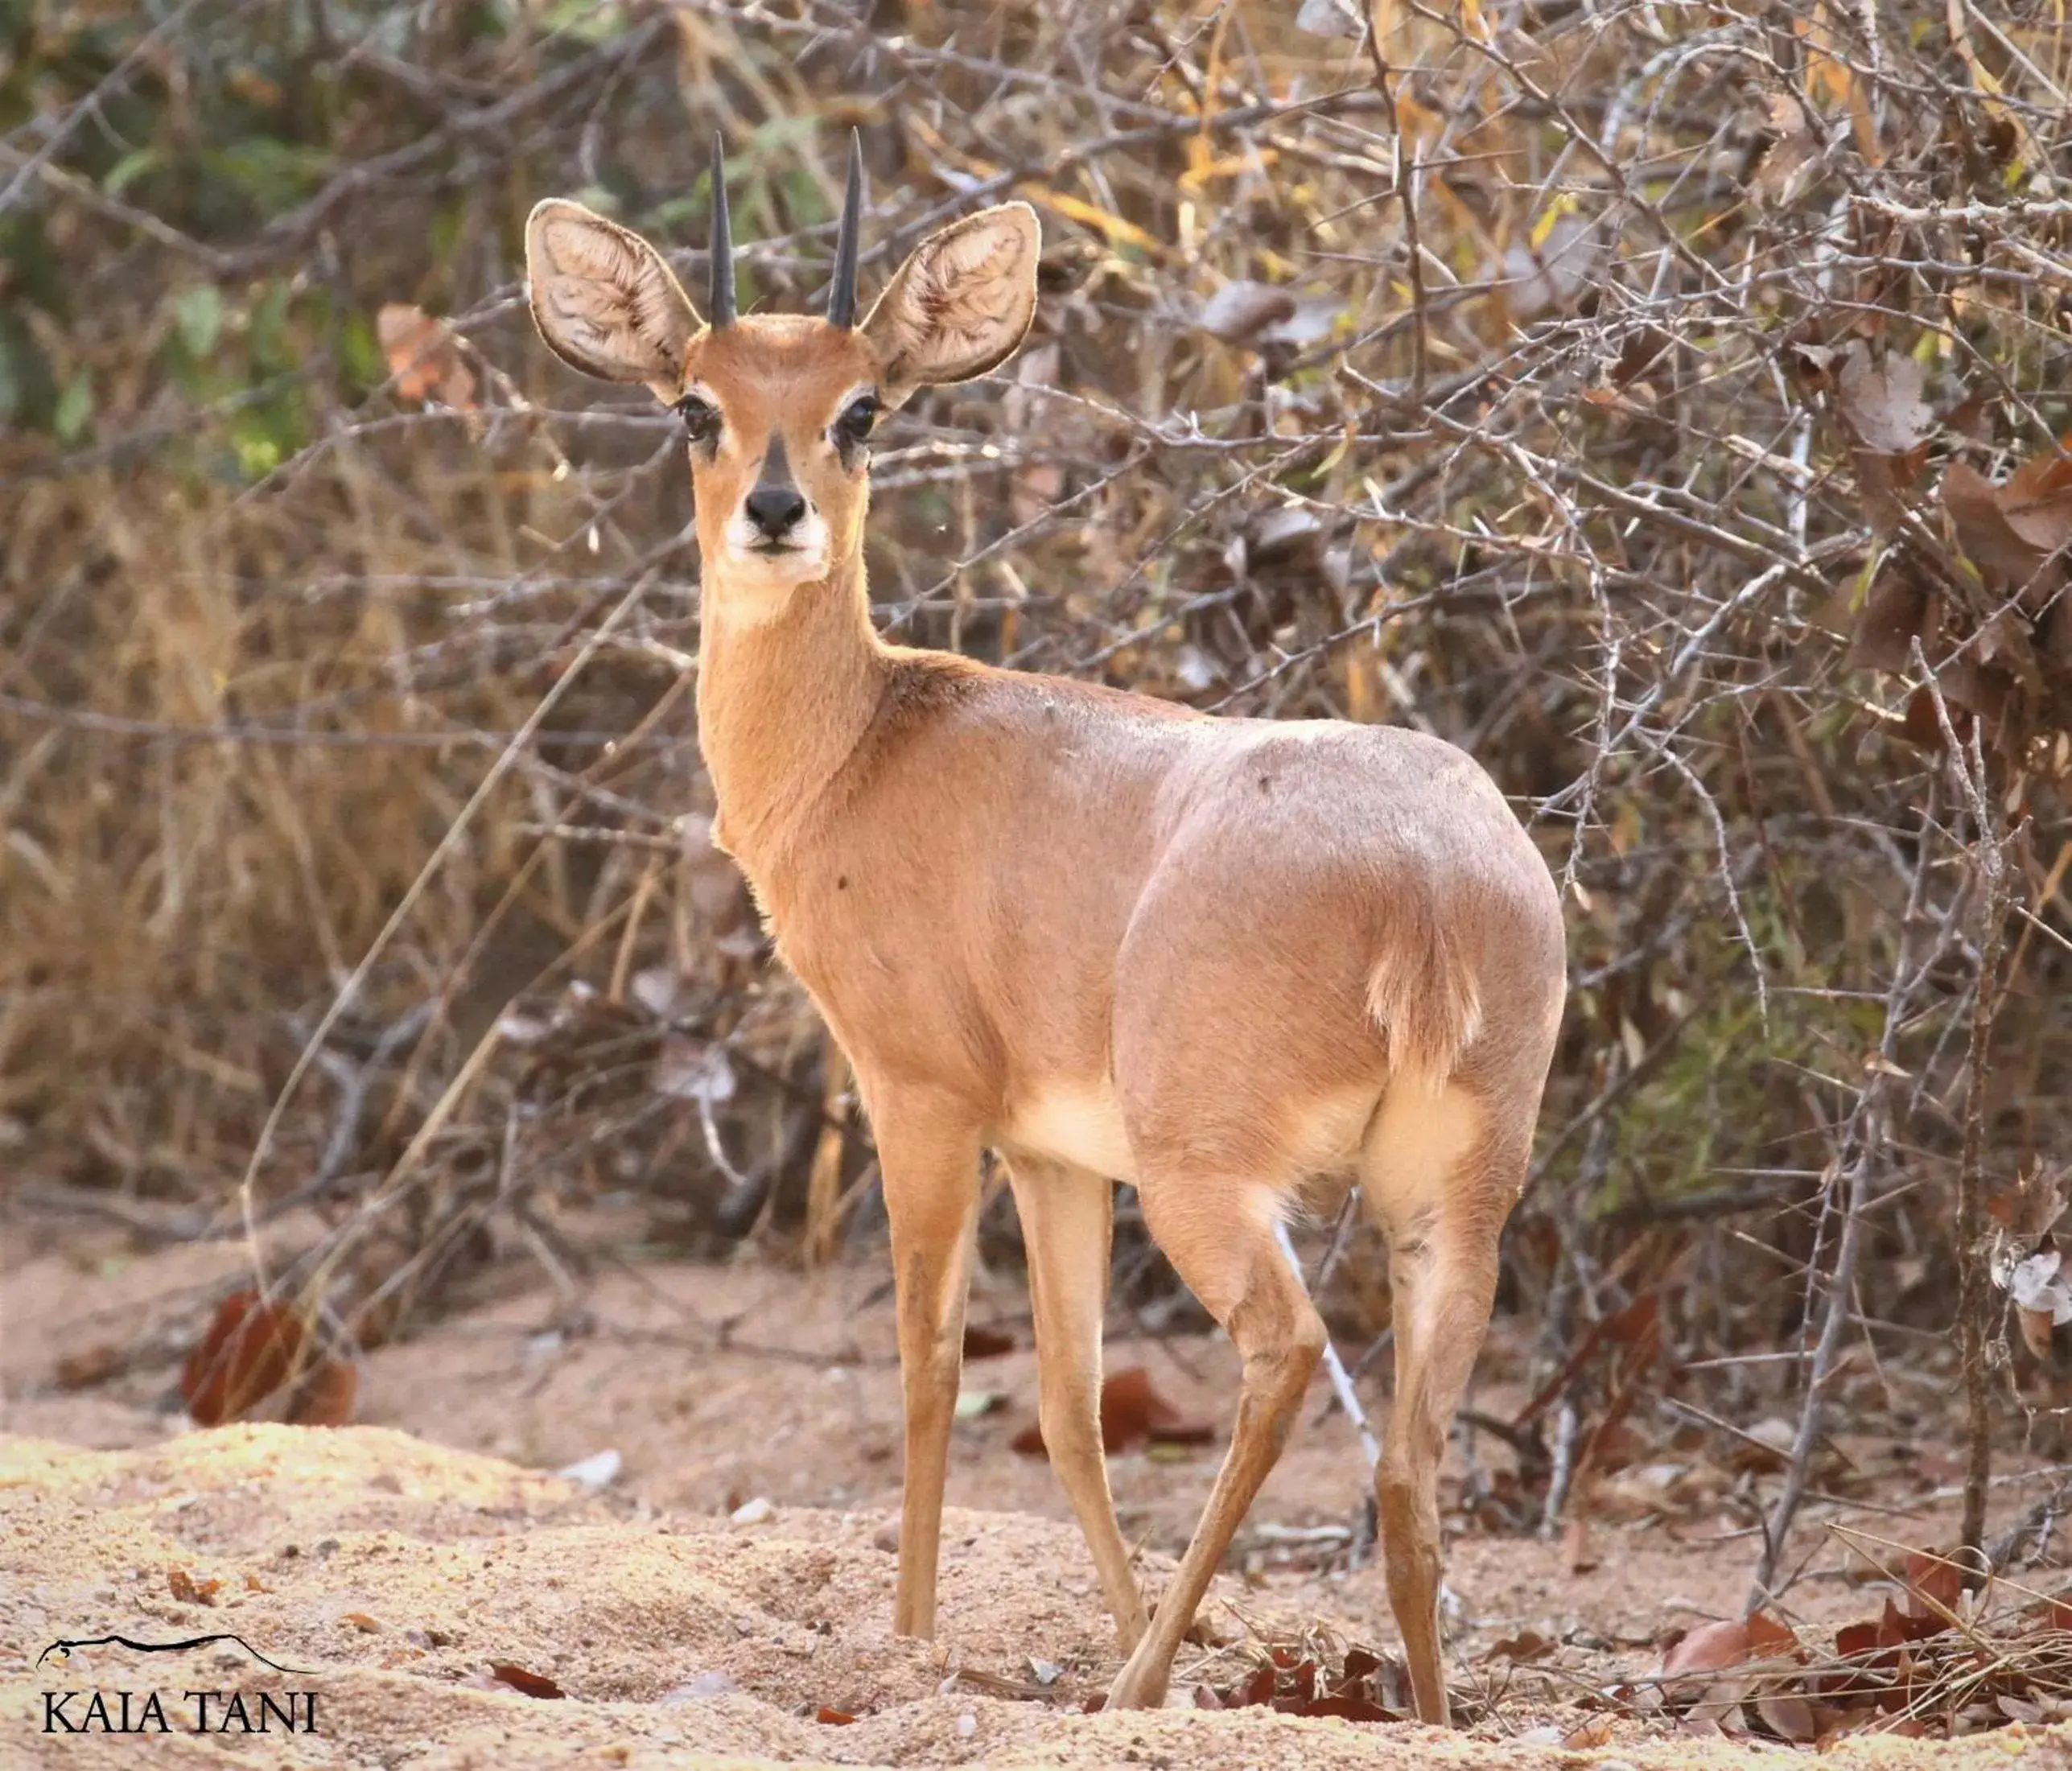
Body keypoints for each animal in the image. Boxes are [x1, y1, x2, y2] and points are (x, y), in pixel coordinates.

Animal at [526, 134, 1558, 1715]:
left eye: (862, 407)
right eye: (697, 403)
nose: (776, 511)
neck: (863, 747)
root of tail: (1429, 878)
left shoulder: (922, 1100)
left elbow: (930, 1363)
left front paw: (907, 1640)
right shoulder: (1055, 1153)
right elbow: (1071, 1407)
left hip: (1211, 1181)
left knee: (1282, 1356)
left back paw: (1135, 1687)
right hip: (1454, 1196)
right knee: (1412, 1469)